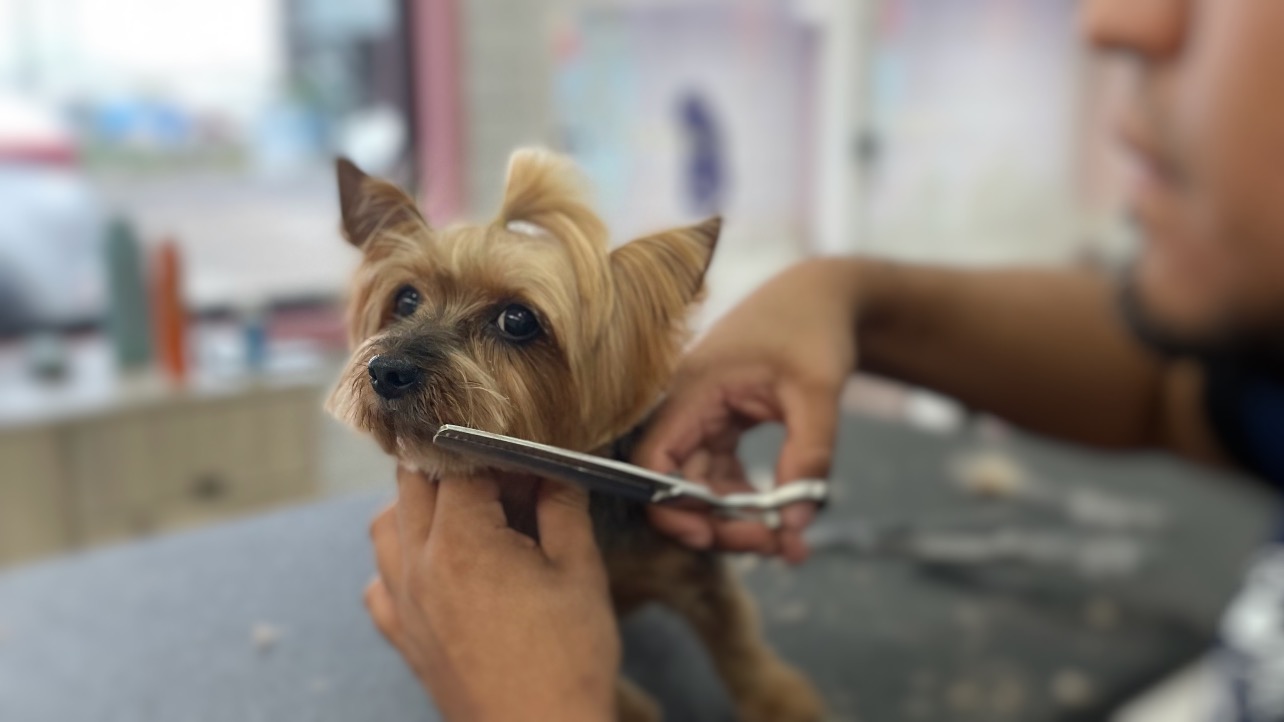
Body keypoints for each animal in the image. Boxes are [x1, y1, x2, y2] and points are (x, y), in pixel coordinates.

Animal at [323, 147, 821, 719]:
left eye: (518, 319)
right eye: (405, 299)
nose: (387, 371)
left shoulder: (689, 565)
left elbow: (736, 638)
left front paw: (783, 701)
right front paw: (632, 707)